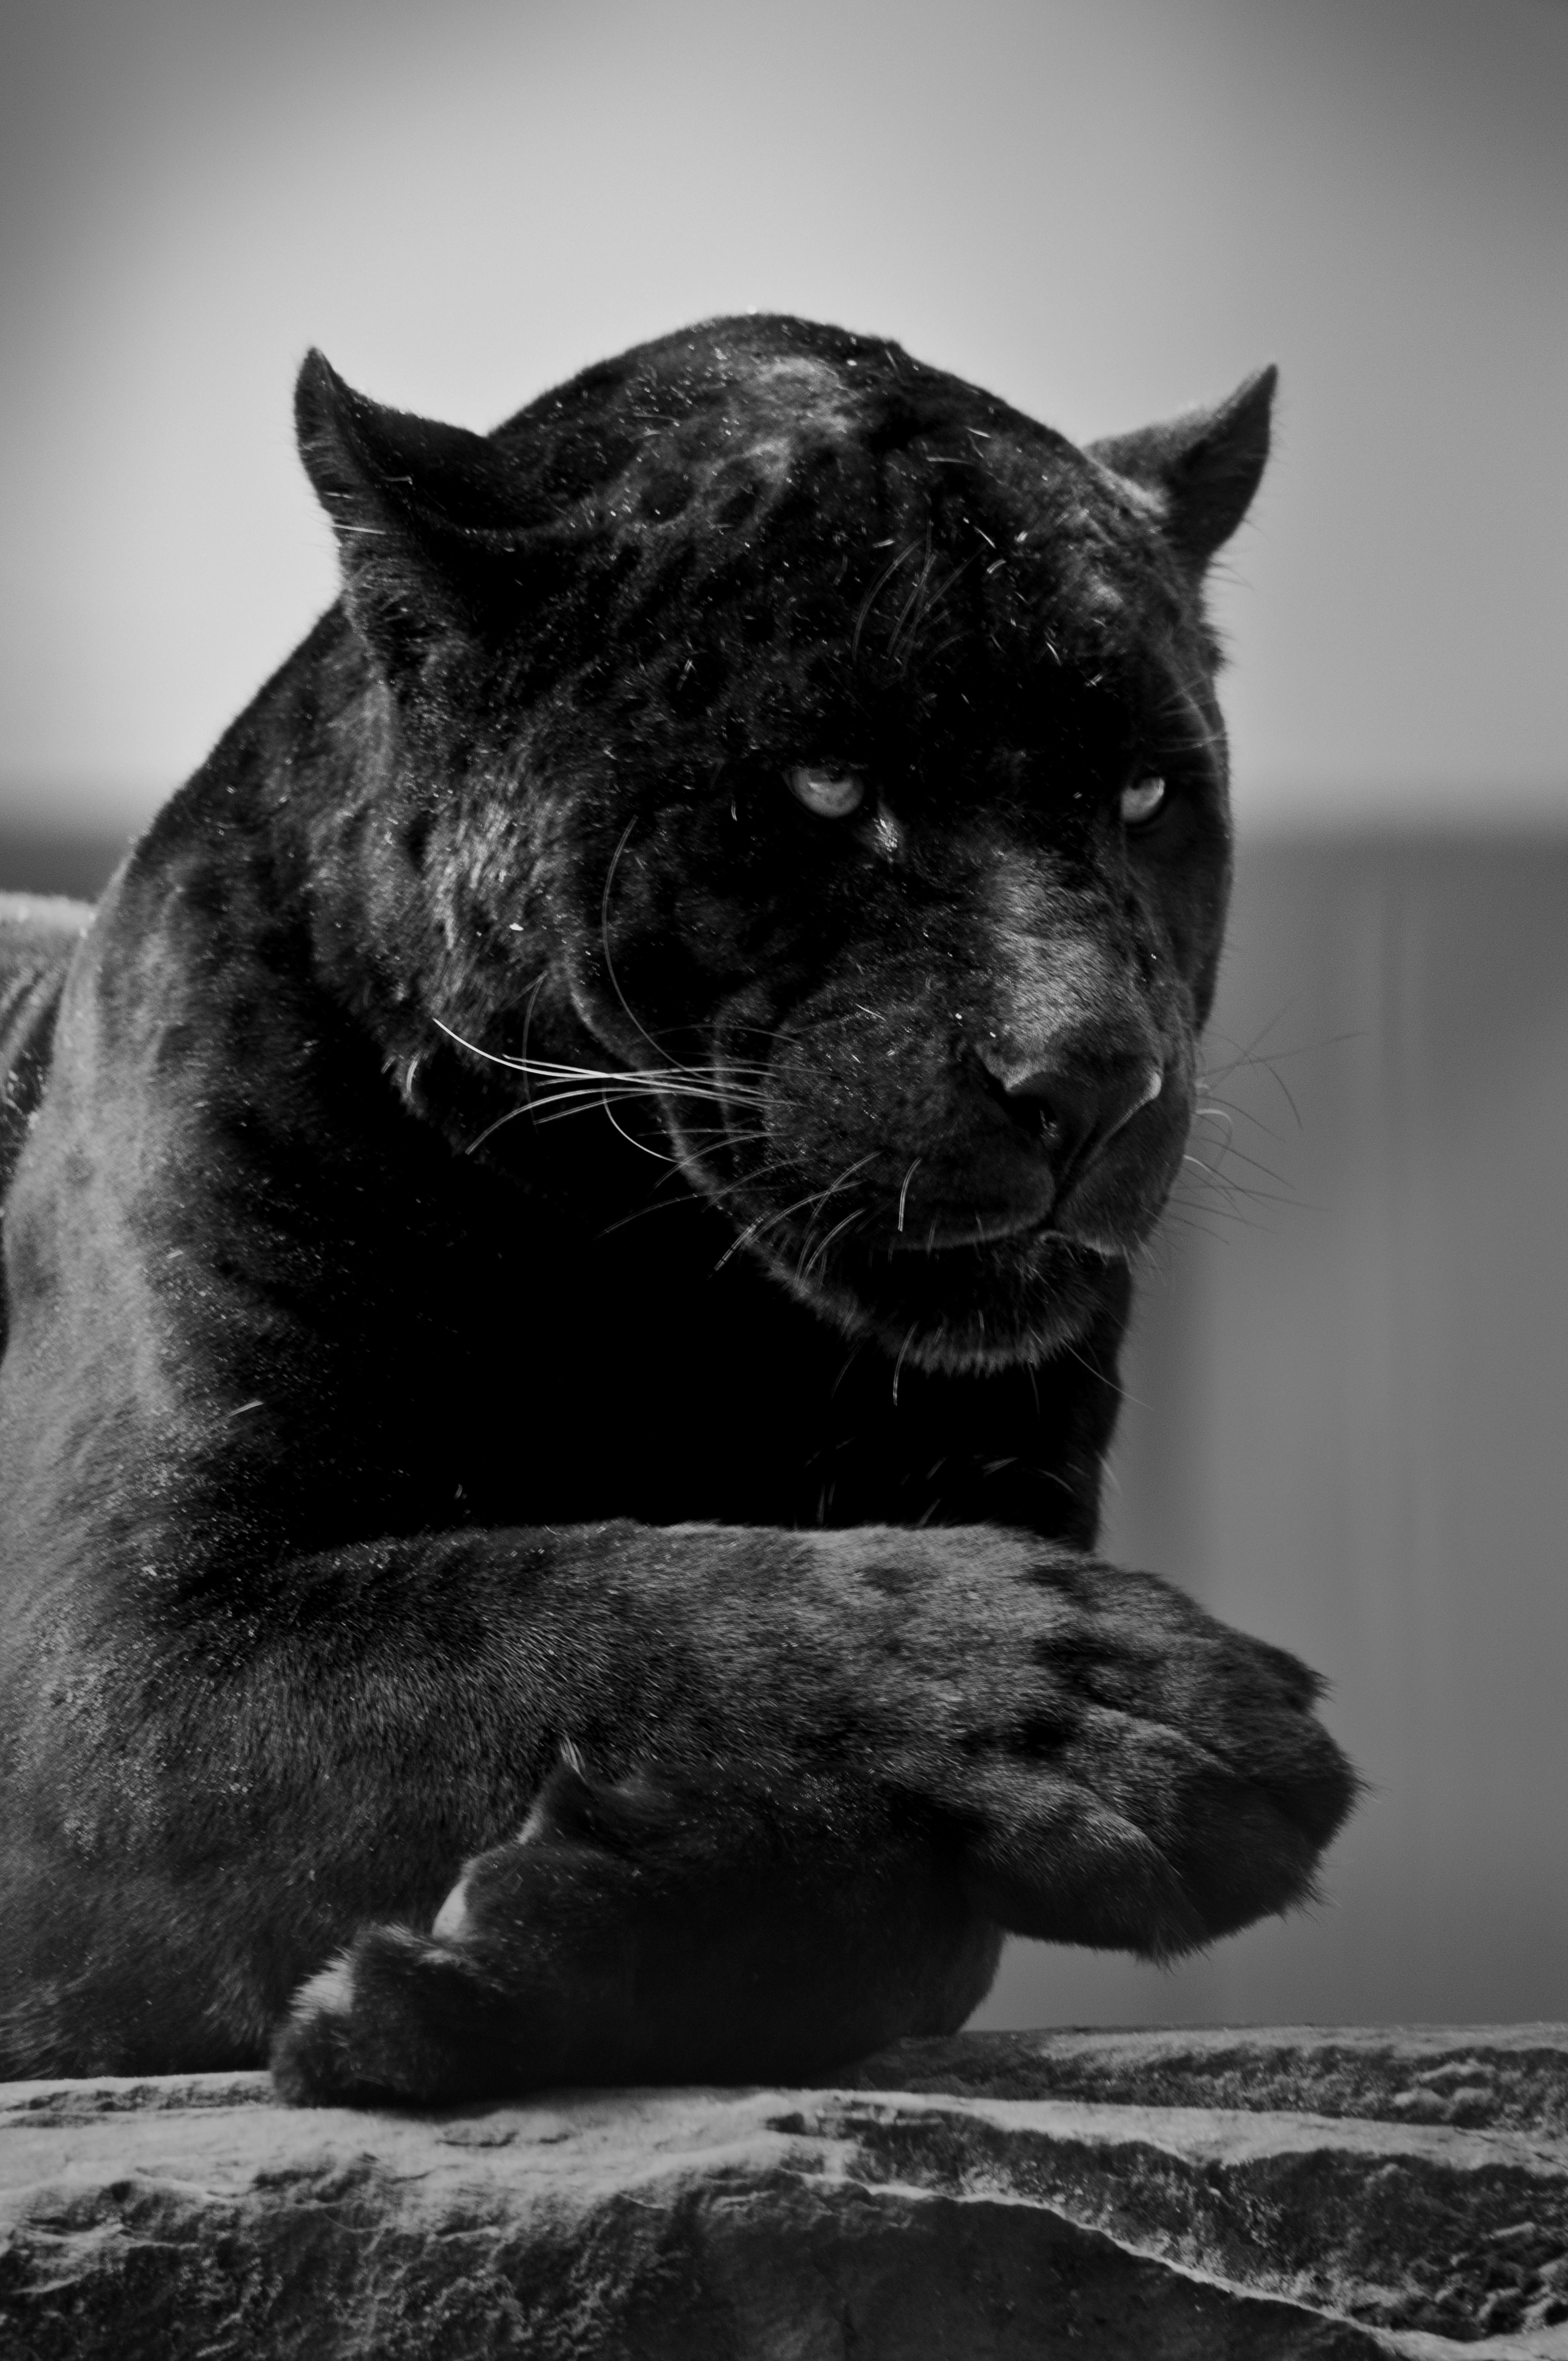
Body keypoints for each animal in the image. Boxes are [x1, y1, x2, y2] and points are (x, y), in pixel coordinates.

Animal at [0, 315, 1354, 2103]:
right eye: (829, 786)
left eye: (1143, 798)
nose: (1088, 1076)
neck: (671, 1301)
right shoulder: (115, 1652)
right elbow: (568, 1604)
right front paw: (1123, 1707)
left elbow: (898, 1911)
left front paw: (517, 1941)